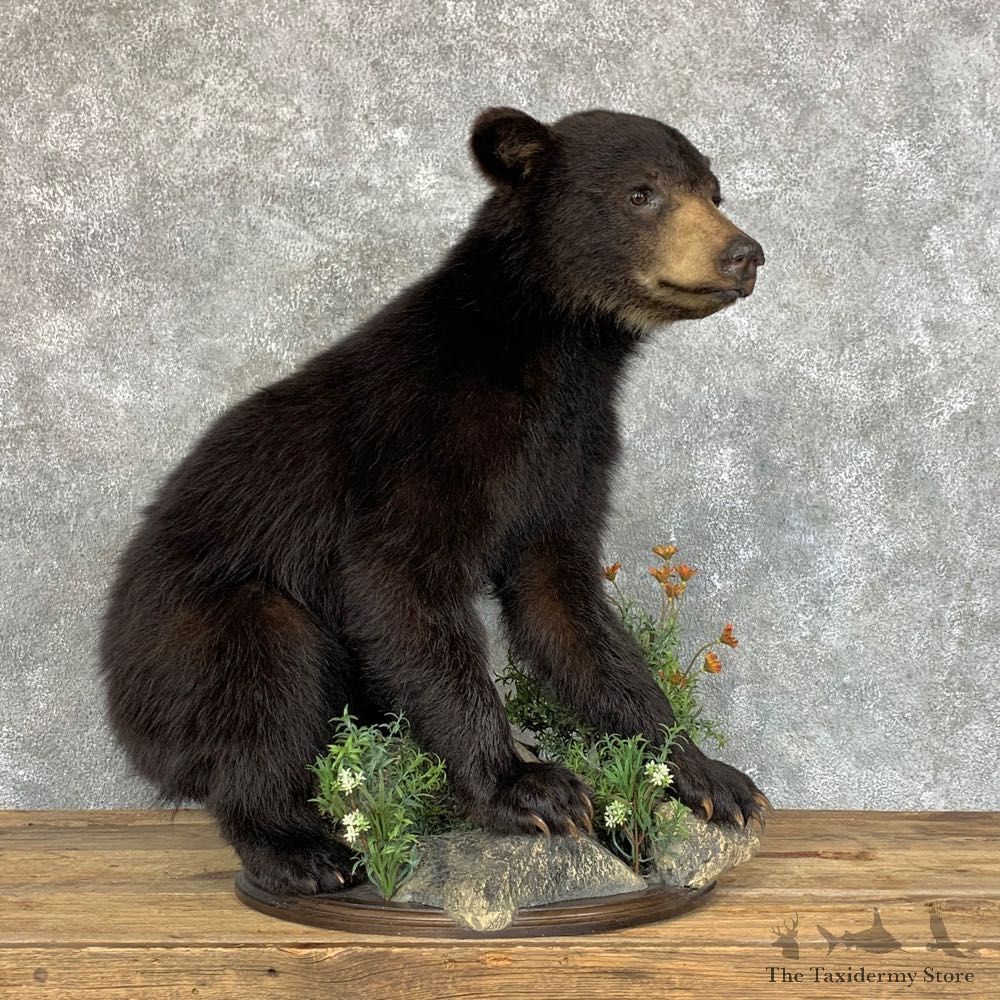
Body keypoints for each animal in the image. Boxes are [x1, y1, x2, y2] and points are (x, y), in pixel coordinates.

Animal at [100, 107, 768, 896]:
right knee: (261, 691)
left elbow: (566, 606)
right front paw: (528, 788)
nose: (745, 254)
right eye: (642, 193)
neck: (554, 353)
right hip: (192, 640)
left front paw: (707, 776)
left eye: (714, 191)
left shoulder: (570, 455)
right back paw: (300, 851)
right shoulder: (426, 437)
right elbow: (402, 584)